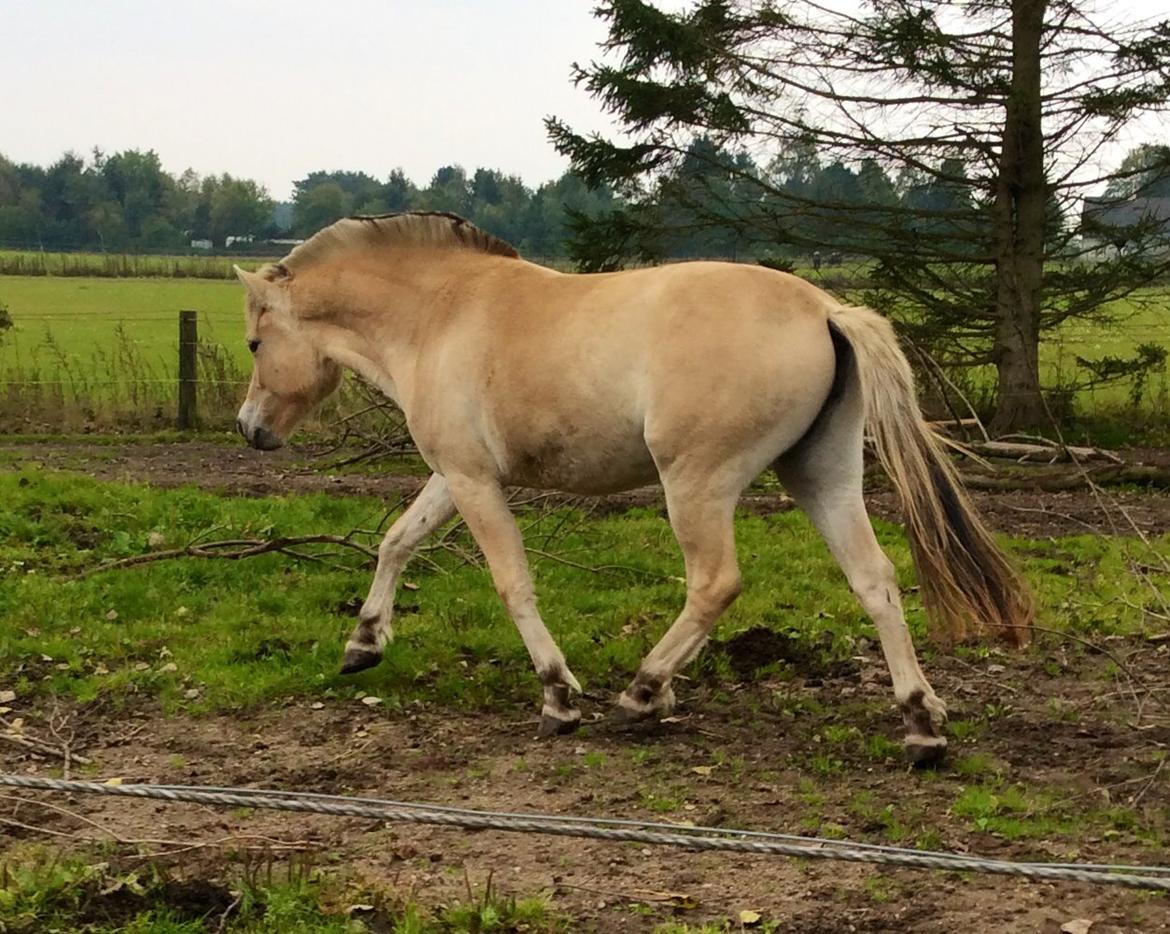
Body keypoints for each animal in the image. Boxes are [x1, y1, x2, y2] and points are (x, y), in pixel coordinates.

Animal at [235, 214, 1034, 767]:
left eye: (254, 344)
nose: (249, 429)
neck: (440, 311)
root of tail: (824, 310)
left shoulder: (473, 480)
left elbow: (510, 582)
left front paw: (560, 696)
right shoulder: (455, 474)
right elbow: (398, 540)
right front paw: (363, 643)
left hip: (697, 487)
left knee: (715, 583)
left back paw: (643, 691)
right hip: (821, 475)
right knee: (876, 580)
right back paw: (920, 724)